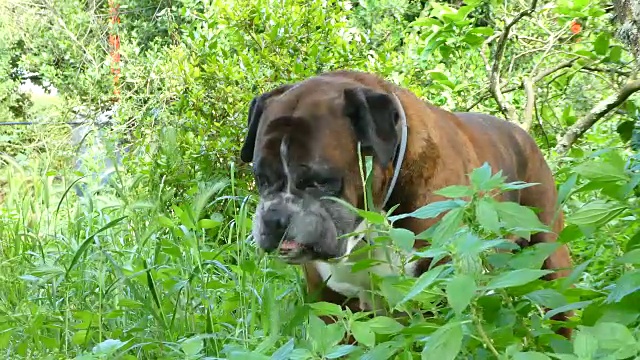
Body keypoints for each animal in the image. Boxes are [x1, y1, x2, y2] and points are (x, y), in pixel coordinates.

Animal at [240, 69, 576, 338]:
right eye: (261, 178)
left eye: (320, 181)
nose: (277, 218)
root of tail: (523, 135)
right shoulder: (330, 304)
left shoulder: (433, 292)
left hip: (553, 256)